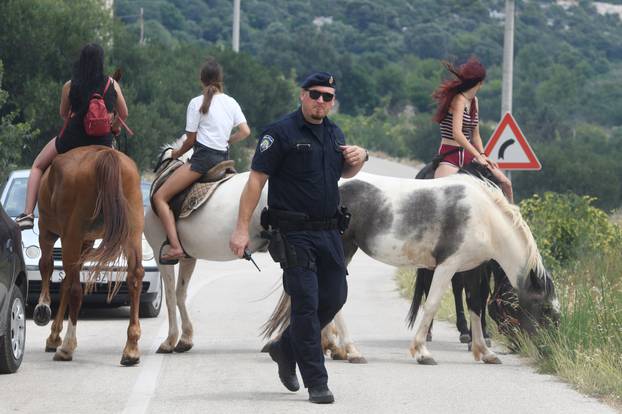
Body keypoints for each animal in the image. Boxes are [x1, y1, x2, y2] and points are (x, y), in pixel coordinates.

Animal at [33, 146, 145, 366]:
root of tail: (105, 155)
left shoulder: (48, 233)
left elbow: (47, 266)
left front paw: (43, 309)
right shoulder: (85, 243)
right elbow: (65, 281)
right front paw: (54, 335)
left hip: (70, 235)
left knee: (76, 289)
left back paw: (67, 346)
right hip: (133, 232)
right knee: (134, 277)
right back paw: (131, 349)